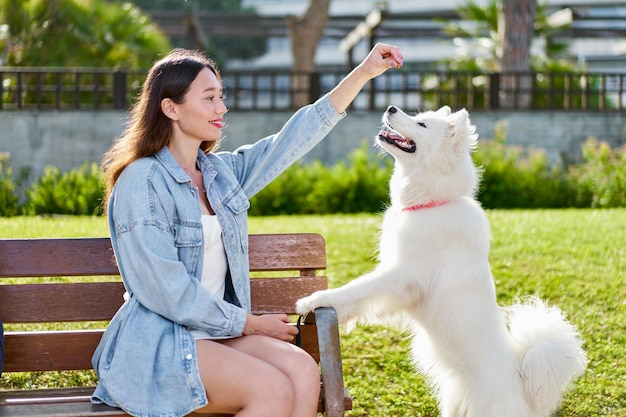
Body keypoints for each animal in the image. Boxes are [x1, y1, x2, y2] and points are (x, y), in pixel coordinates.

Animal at [296, 105, 584, 416]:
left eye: (421, 124)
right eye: (416, 114)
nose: (391, 107)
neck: (430, 204)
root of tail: (521, 386)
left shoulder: (401, 277)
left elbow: (356, 290)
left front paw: (313, 300)